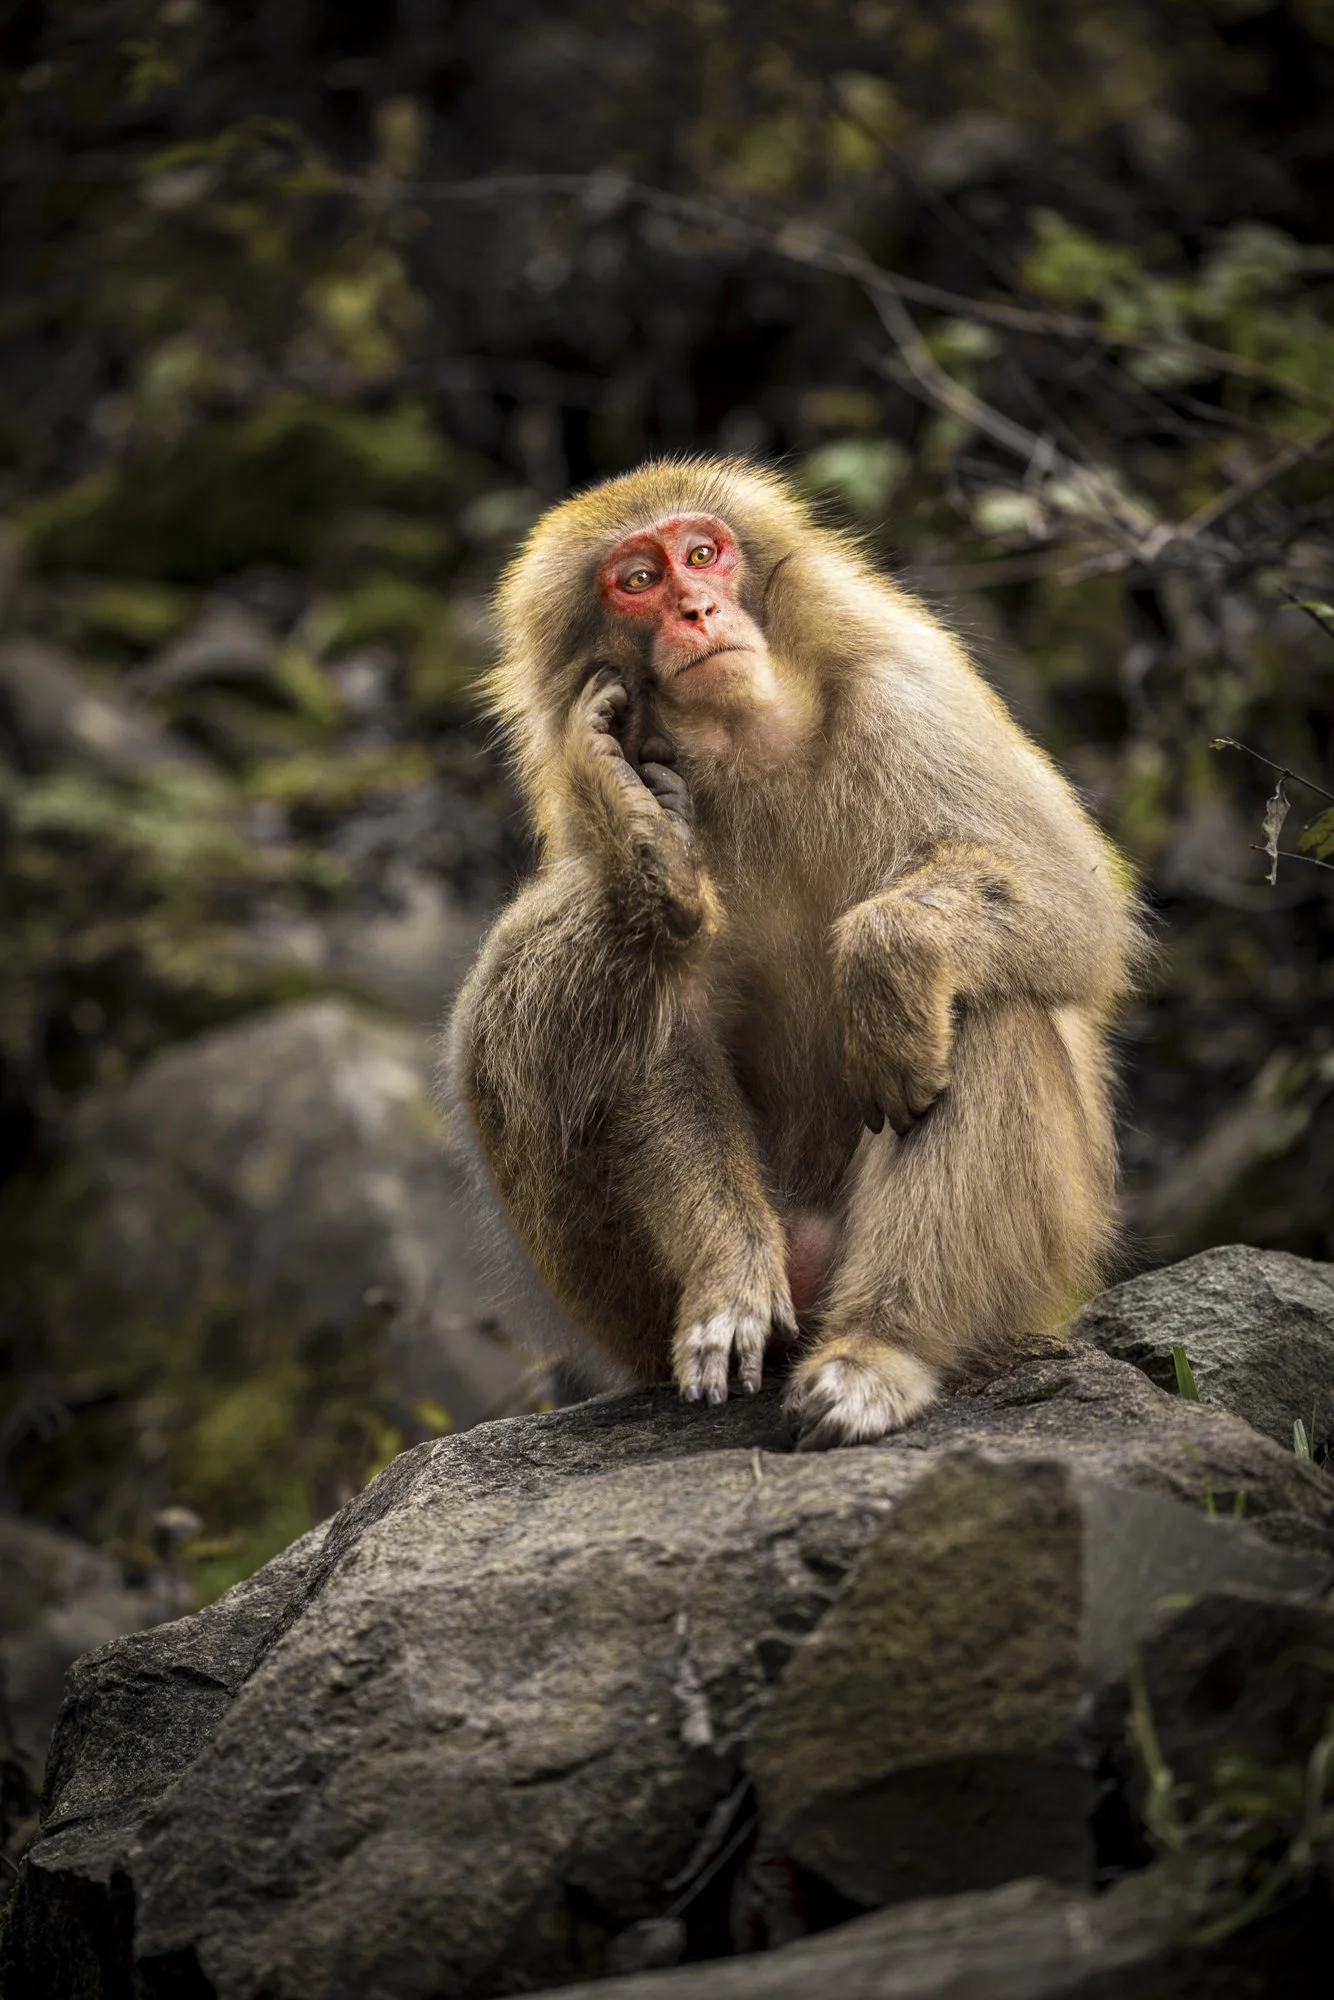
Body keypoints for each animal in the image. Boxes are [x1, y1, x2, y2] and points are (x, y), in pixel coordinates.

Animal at [446, 457, 1140, 1447]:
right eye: (639, 579)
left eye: (704, 554)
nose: (698, 609)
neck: (748, 734)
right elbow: (663, 1025)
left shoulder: (911, 685)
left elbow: (1077, 905)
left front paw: (885, 964)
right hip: (638, 1307)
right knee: (560, 1000)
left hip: (1043, 1269)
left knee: (982, 1001)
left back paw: (880, 1352)